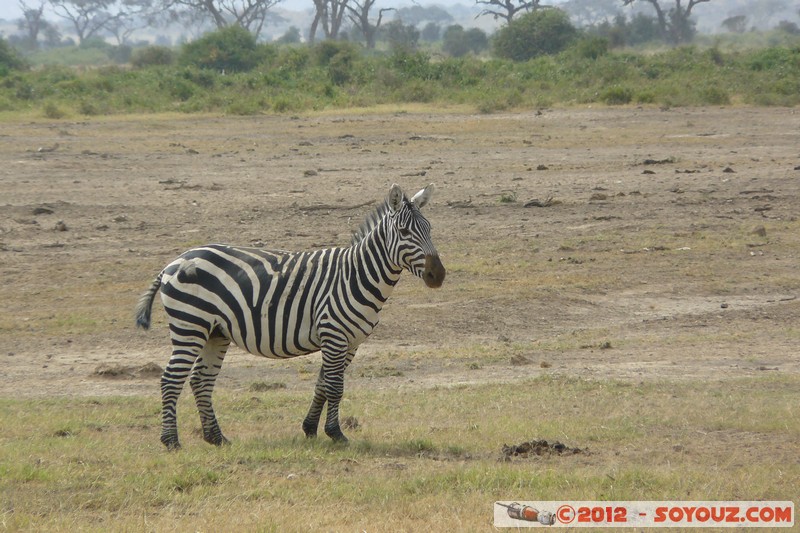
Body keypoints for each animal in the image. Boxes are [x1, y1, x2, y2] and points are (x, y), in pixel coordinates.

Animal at [132, 184, 444, 448]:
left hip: (215, 332)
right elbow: (335, 386)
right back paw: (171, 441)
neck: (356, 274)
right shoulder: (334, 335)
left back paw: (216, 438)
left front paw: (310, 428)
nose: (438, 275)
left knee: (201, 380)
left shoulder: (350, 342)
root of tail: (176, 261)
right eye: (403, 231)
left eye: (429, 228)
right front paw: (336, 433)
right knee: (171, 379)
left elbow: (323, 383)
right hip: (190, 325)